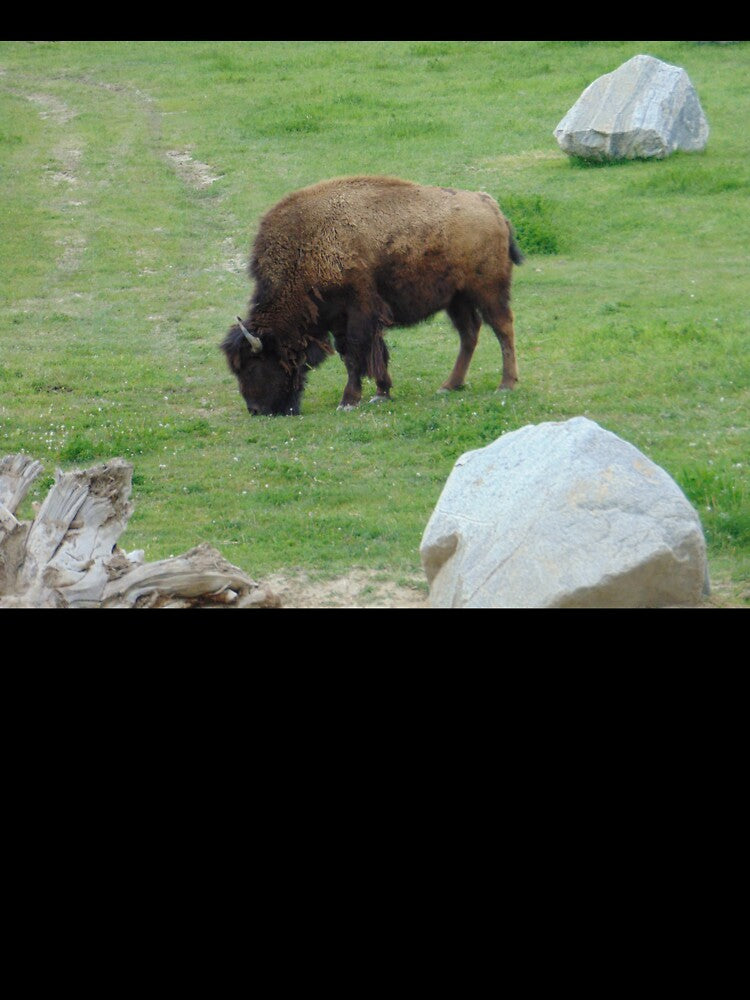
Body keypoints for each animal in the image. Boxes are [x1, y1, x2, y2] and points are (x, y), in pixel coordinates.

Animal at [220, 175, 523, 416]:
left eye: (252, 366)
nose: (256, 410)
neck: (305, 248)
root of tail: (492, 207)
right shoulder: (343, 319)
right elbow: (371, 353)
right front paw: (382, 392)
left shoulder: (357, 313)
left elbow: (356, 354)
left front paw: (349, 401)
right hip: (456, 299)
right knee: (469, 333)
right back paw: (449, 386)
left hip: (488, 291)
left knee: (503, 328)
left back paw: (506, 385)